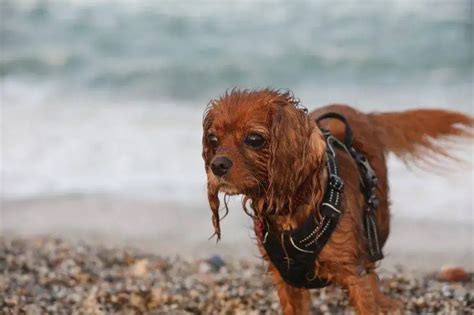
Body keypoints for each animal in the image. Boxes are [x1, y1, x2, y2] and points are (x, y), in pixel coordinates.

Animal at [202, 89, 472, 315]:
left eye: (255, 139)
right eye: (213, 139)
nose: (217, 165)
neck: (292, 209)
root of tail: (365, 116)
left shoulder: (353, 275)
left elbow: (365, 295)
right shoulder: (285, 280)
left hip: (378, 223)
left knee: (372, 266)